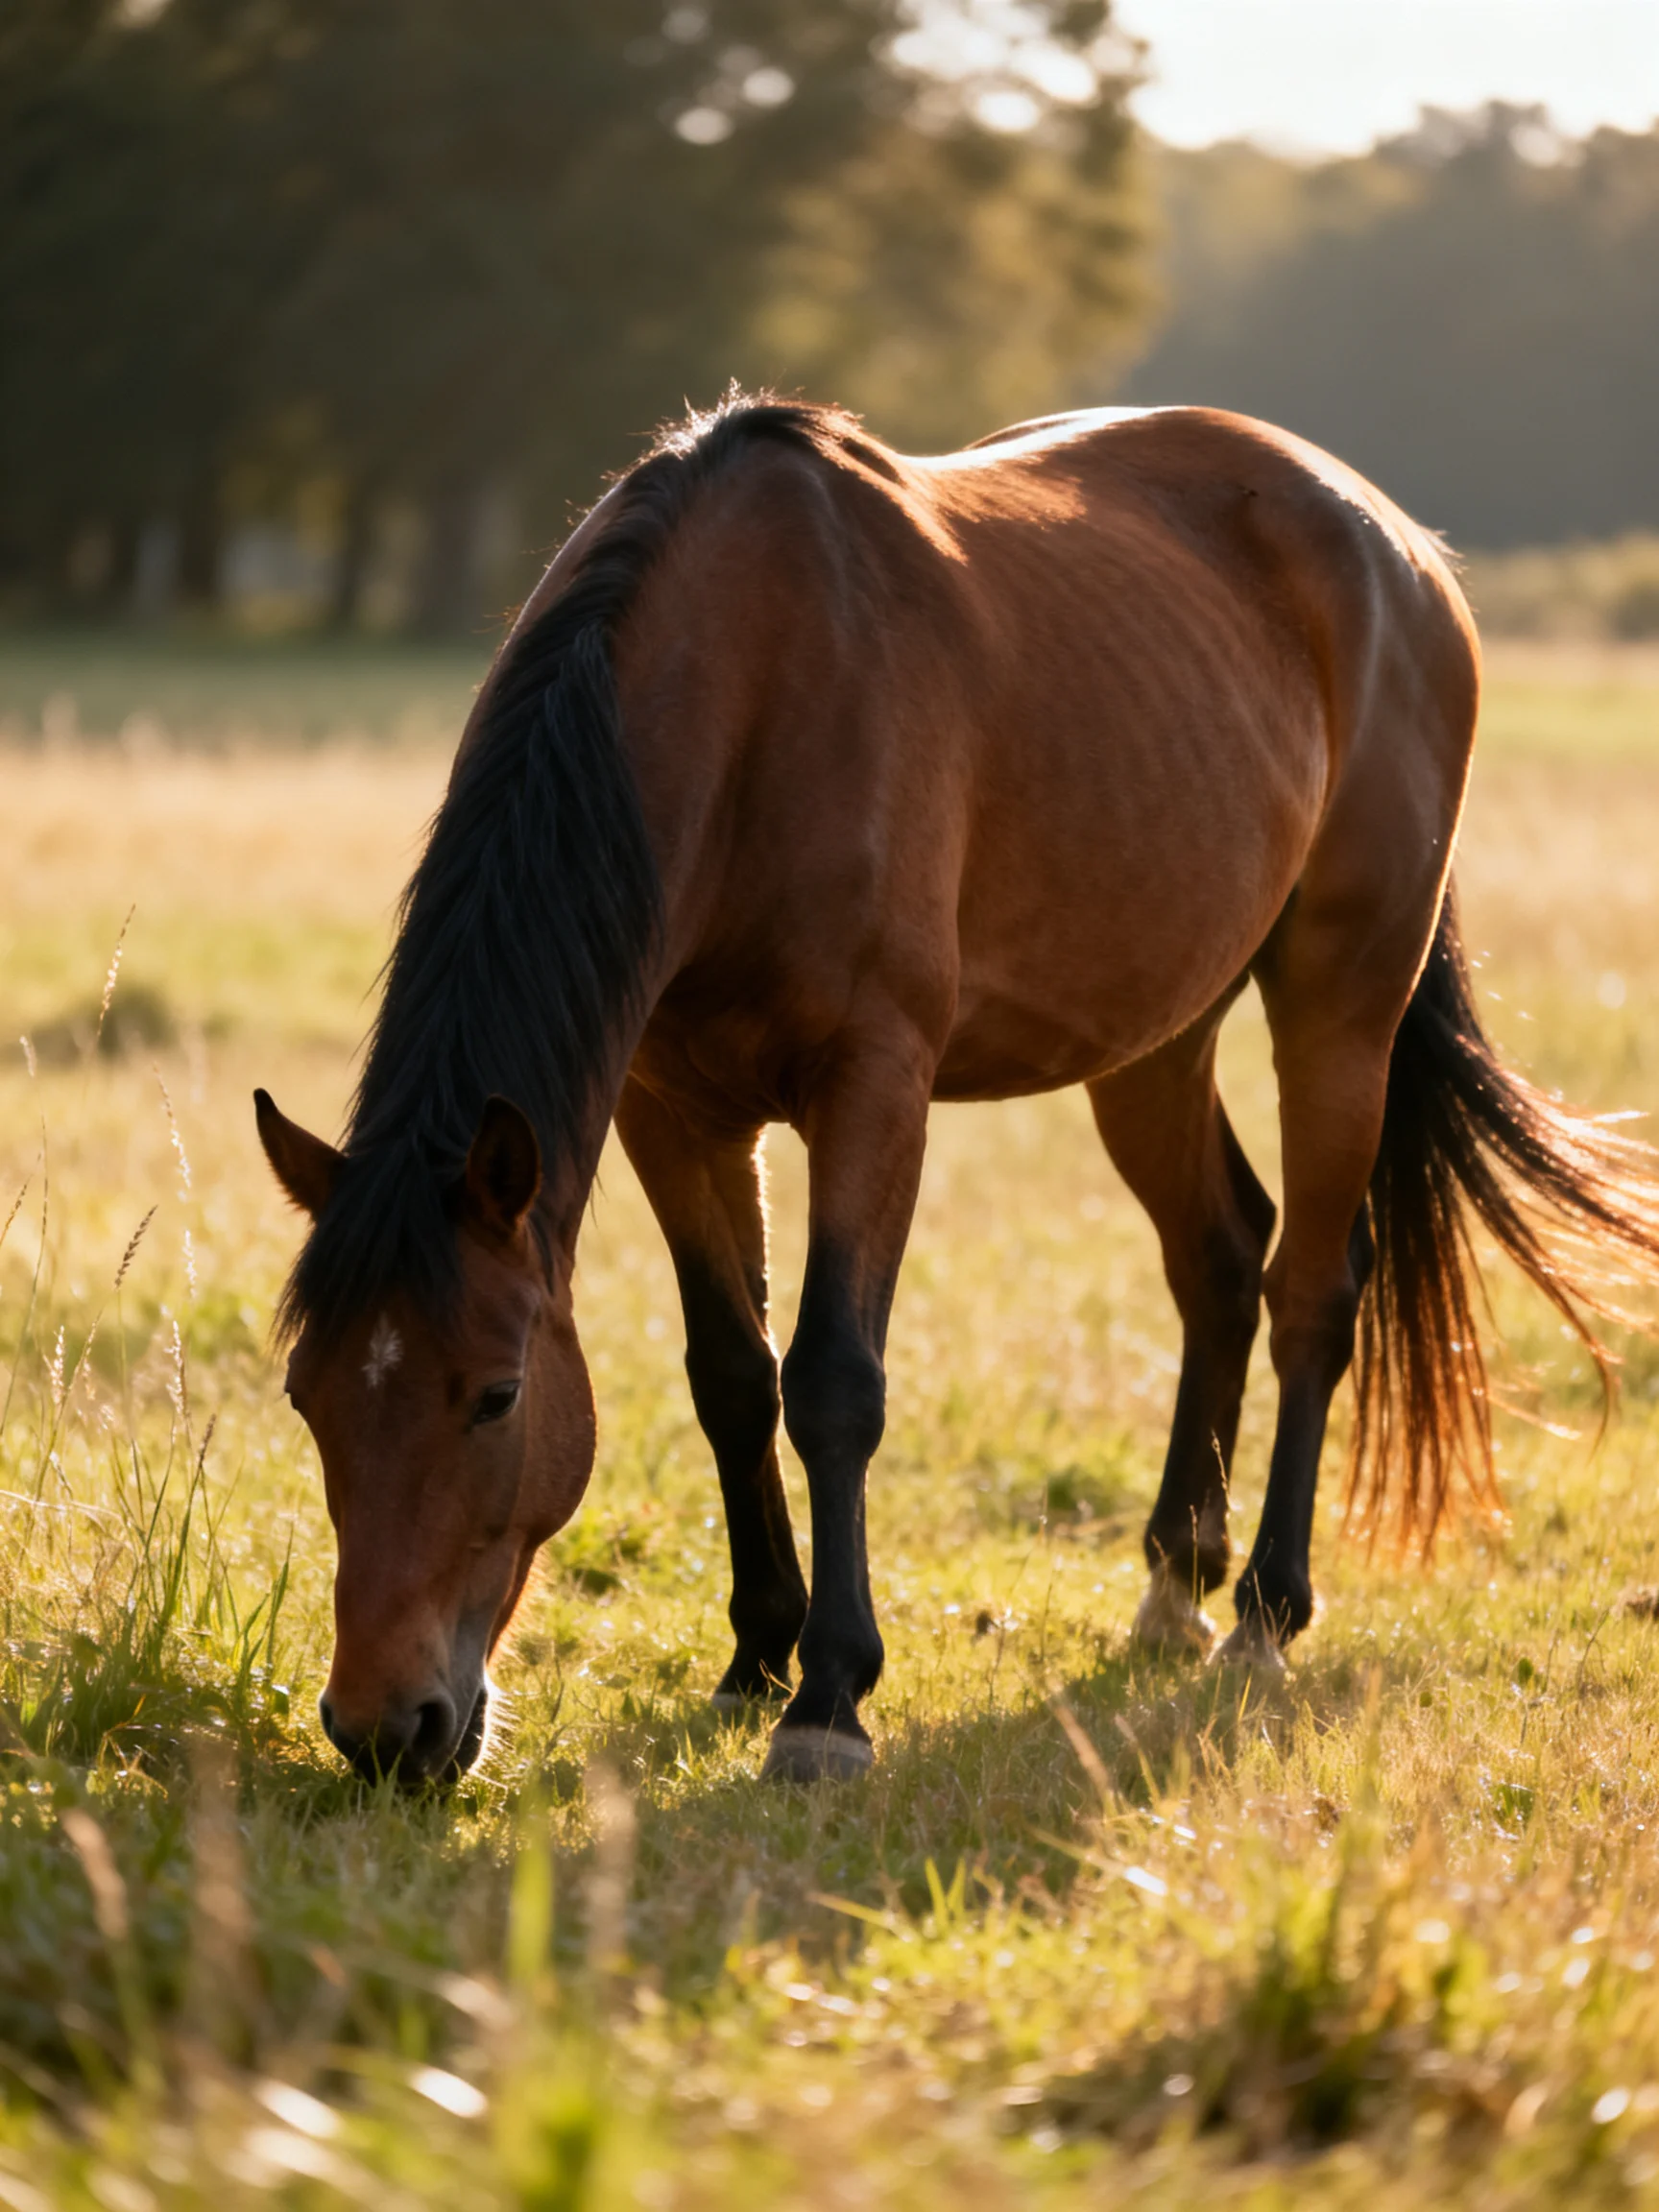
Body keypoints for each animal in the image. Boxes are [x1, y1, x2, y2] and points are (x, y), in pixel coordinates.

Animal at [257, 395, 1659, 1786]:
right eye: (306, 1393)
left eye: (495, 1396)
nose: (385, 1729)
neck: (753, 694)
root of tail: (1404, 551)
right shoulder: (673, 1112)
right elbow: (733, 1377)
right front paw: (755, 1655)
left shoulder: (874, 1086)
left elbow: (833, 1380)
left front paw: (828, 1697)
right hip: (1152, 1035)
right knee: (1218, 1257)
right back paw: (1174, 1584)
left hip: (1341, 1004)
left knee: (1311, 1287)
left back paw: (1264, 1613)